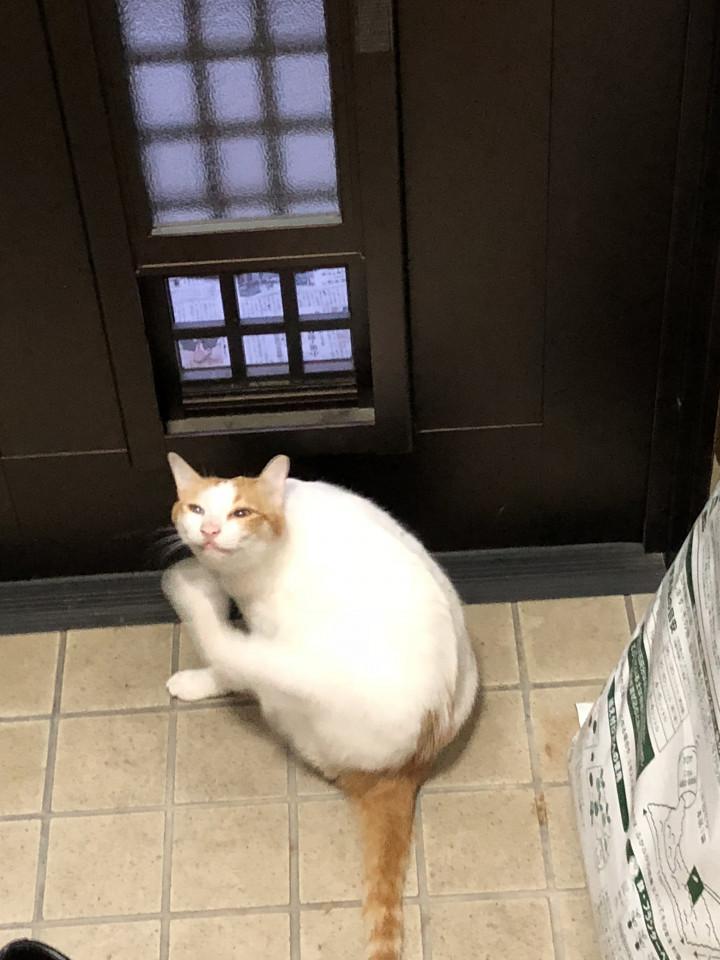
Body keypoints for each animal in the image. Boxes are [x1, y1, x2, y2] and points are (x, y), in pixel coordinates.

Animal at [162, 453, 479, 960]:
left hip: (292, 684)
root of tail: (409, 764)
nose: (208, 531)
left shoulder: (264, 633)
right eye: (195, 508)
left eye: (241, 513)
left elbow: (229, 665)